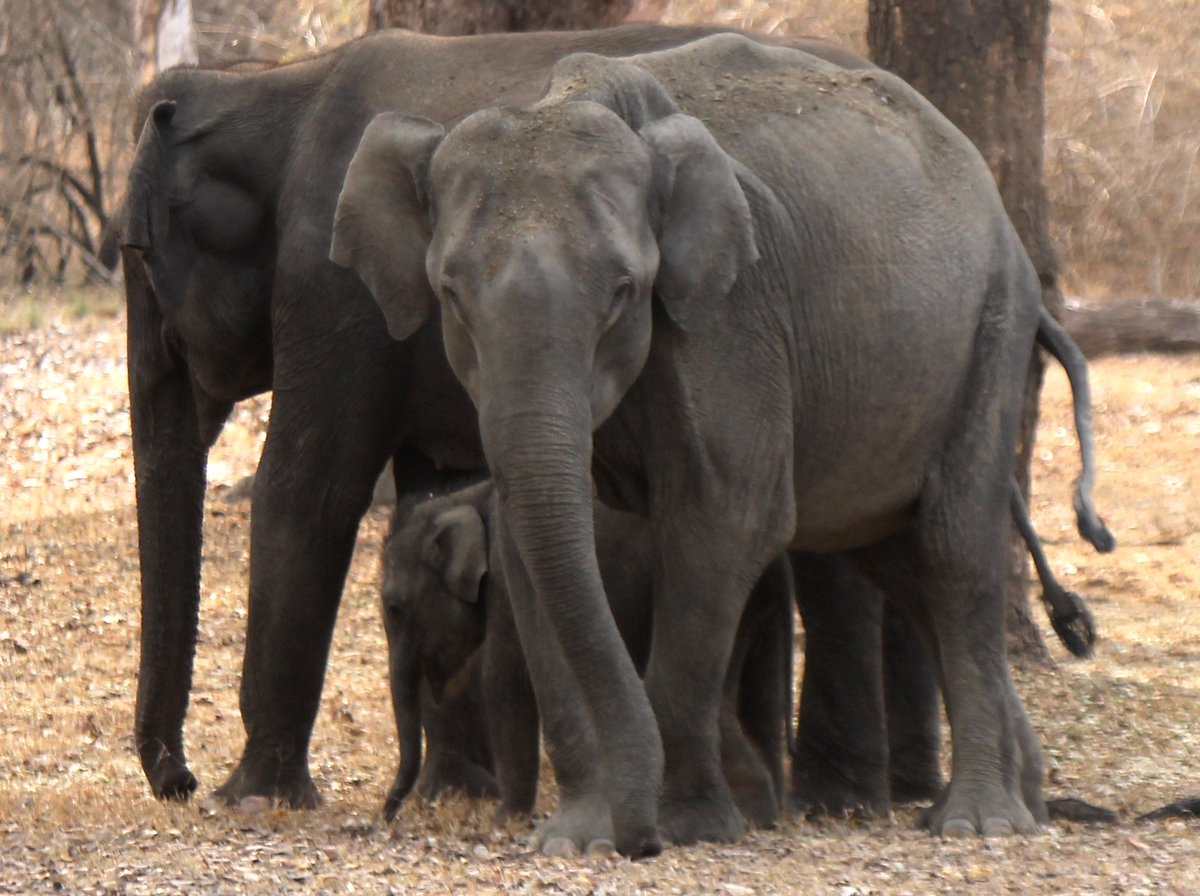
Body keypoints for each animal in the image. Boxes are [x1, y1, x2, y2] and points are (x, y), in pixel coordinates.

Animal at [379, 479, 796, 830]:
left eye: (395, 608)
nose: (385, 817)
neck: (462, 499)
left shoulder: (507, 585)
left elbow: (504, 677)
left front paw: (504, 819)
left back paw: (745, 815)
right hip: (754, 608)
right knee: (752, 690)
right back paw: (761, 811)